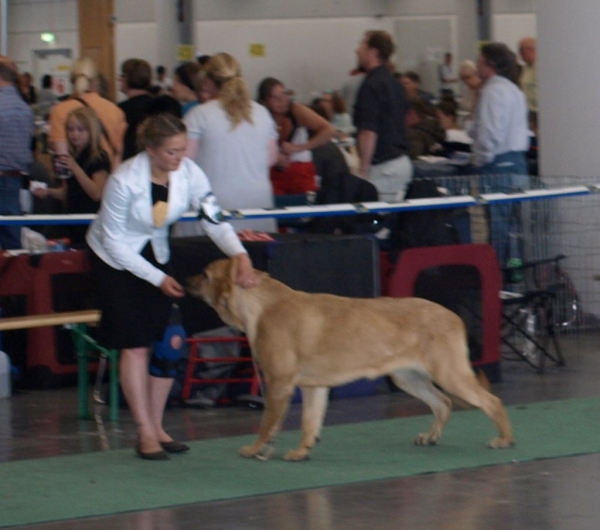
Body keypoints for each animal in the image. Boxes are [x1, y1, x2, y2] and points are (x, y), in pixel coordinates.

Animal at [186, 256, 510, 458]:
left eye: (205, 274)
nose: (187, 282)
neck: (261, 307)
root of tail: (455, 316)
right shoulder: (314, 388)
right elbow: (310, 423)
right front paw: (302, 452)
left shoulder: (279, 385)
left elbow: (267, 426)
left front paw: (254, 450)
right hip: (408, 377)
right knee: (442, 403)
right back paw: (430, 437)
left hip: (449, 374)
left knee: (492, 401)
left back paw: (504, 439)